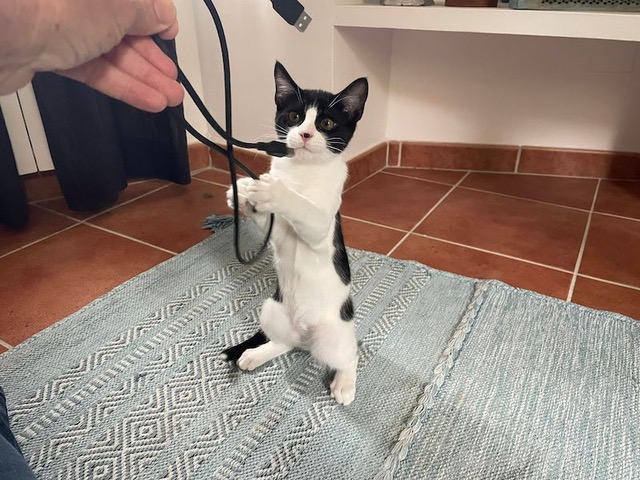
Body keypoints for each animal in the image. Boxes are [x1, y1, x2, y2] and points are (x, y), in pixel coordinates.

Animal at [221, 61, 368, 406]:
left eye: (326, 122)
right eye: (294, 116)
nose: (304, 134)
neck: (302, 172)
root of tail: (305, 332)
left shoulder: (320, 226)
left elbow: (304, 208)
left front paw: (273, 190)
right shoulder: (277, 234)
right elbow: (269, 223)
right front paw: (243, 191)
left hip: (334, 335)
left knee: (349, 355)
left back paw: (345, 384)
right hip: (272, 310)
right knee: (287, 342)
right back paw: (256, 354)